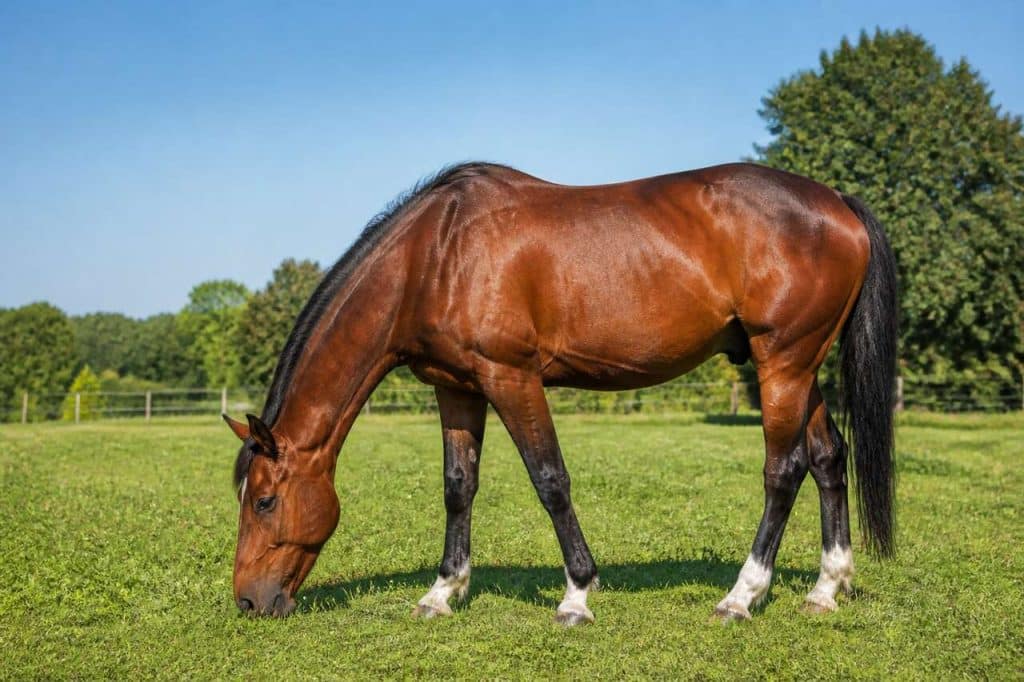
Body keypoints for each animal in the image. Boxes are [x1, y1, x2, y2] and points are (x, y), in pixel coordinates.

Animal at [222, 161, 897, 625]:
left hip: (781, 362)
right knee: (828, 458)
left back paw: (741, 596)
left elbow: (550, 480)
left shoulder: (512, 378)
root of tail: (836, 202)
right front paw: (443, 591)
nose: (249, 602)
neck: (436, 255)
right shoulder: (457, 390)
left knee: (784, 470)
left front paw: (577, 595)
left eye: (264, 501)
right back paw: (826, 588)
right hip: (802, 369)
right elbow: (458, 487)